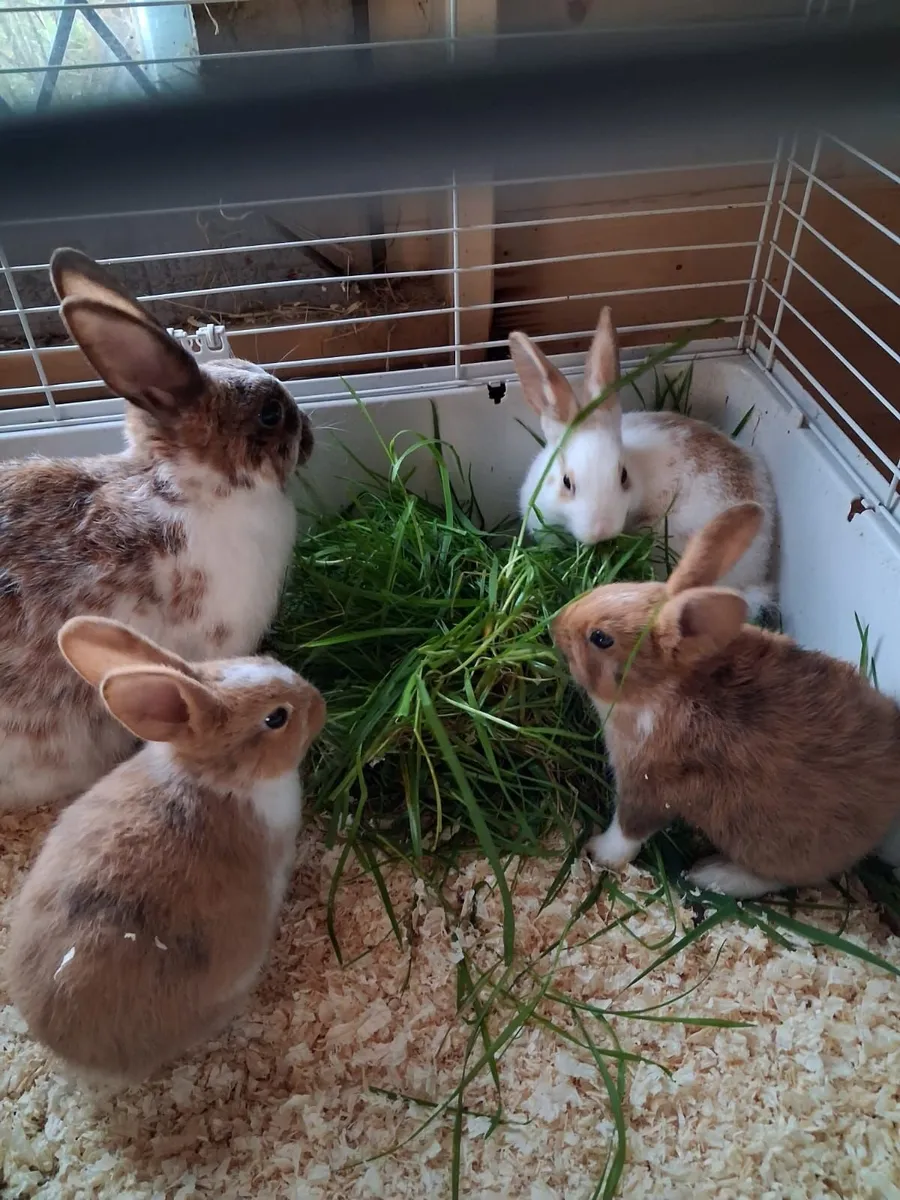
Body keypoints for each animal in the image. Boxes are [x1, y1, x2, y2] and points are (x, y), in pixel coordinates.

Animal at [550, 501, 900, 899]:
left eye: (601, 638)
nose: (555, 626)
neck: (662, 688)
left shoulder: (646, 784)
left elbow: (627, 831)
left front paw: (597, 852)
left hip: (770, 843)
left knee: (778, 877)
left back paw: (712, 875)